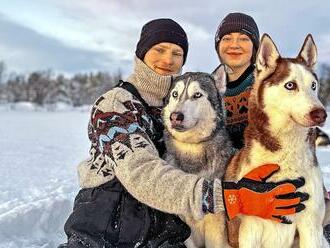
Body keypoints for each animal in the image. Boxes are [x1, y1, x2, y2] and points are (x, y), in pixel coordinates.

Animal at [162, 65, 235, 247]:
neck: (192, 148)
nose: (175, 116)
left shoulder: (216, 227)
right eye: (175, 94)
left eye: (197, 95)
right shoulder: (187, 228)